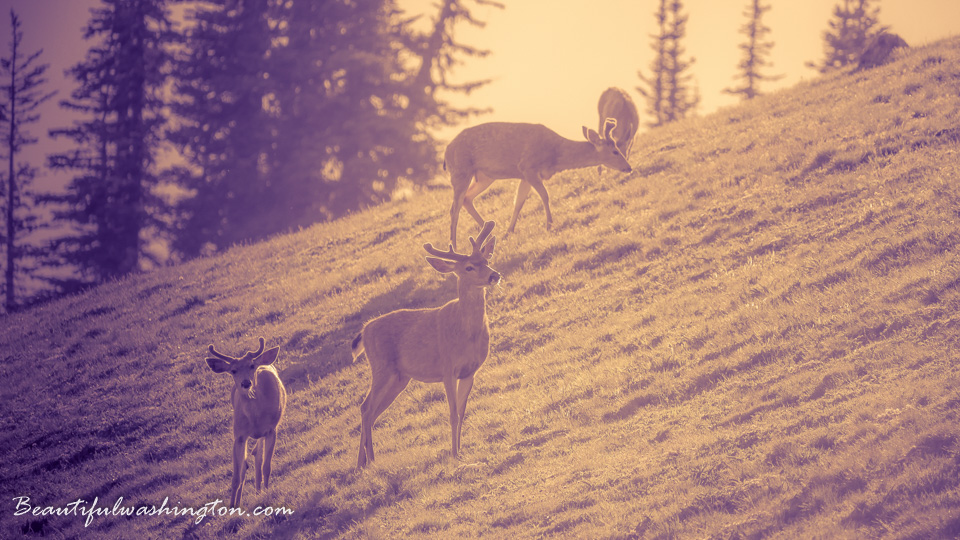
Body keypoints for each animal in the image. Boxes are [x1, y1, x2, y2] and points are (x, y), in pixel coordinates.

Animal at [204, 336, 286, 508]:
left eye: (252, 366)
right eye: (233, 370)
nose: (246, 383)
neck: (256, 418)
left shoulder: (271, 429)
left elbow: (266, 466)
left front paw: (266, 493)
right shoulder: (239, 436)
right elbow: (236, 476)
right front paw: (231, 506)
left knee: (258, 457)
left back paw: (259, 491)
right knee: (245, 466)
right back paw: (241, 500)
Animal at [352, 219, 502, 468]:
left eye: (486, 260)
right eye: (469, 267)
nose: (494, 275)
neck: (467, 333)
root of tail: (364, 330)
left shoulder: (470, 371)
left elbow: (462, 412)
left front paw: (461, 449)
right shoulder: (447, 368)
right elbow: (452, 413)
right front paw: (453, 454)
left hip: (400, 378)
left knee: (372, 411)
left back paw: (364, 462)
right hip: (381, 367)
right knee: (365, 407)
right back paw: (367, 461)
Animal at [442, 121, 632, 249]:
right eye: (615, 151)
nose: (629, 167)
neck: (555, 156)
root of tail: (445, 152)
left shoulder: (524, 175)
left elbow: (518, 202)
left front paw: (509, 231)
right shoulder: (528, 167)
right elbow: (545, 195)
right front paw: (550, 225)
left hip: (484, 176)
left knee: (467, 199)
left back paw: (489, 232)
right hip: (460, 170)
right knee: (454, 208)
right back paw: (454, 246)